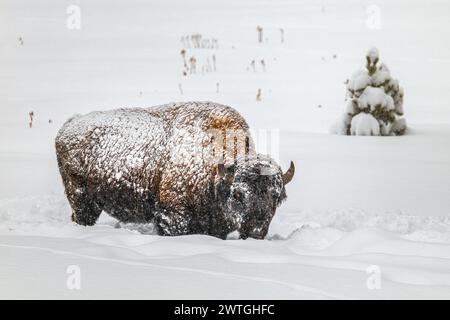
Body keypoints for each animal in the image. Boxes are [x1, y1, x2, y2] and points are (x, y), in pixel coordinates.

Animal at [55, 101, 296, 239]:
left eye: (276, 196)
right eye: (238, 194)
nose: (256, 231)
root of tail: (68, 125)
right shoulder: (172, 216)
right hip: (81, 197)